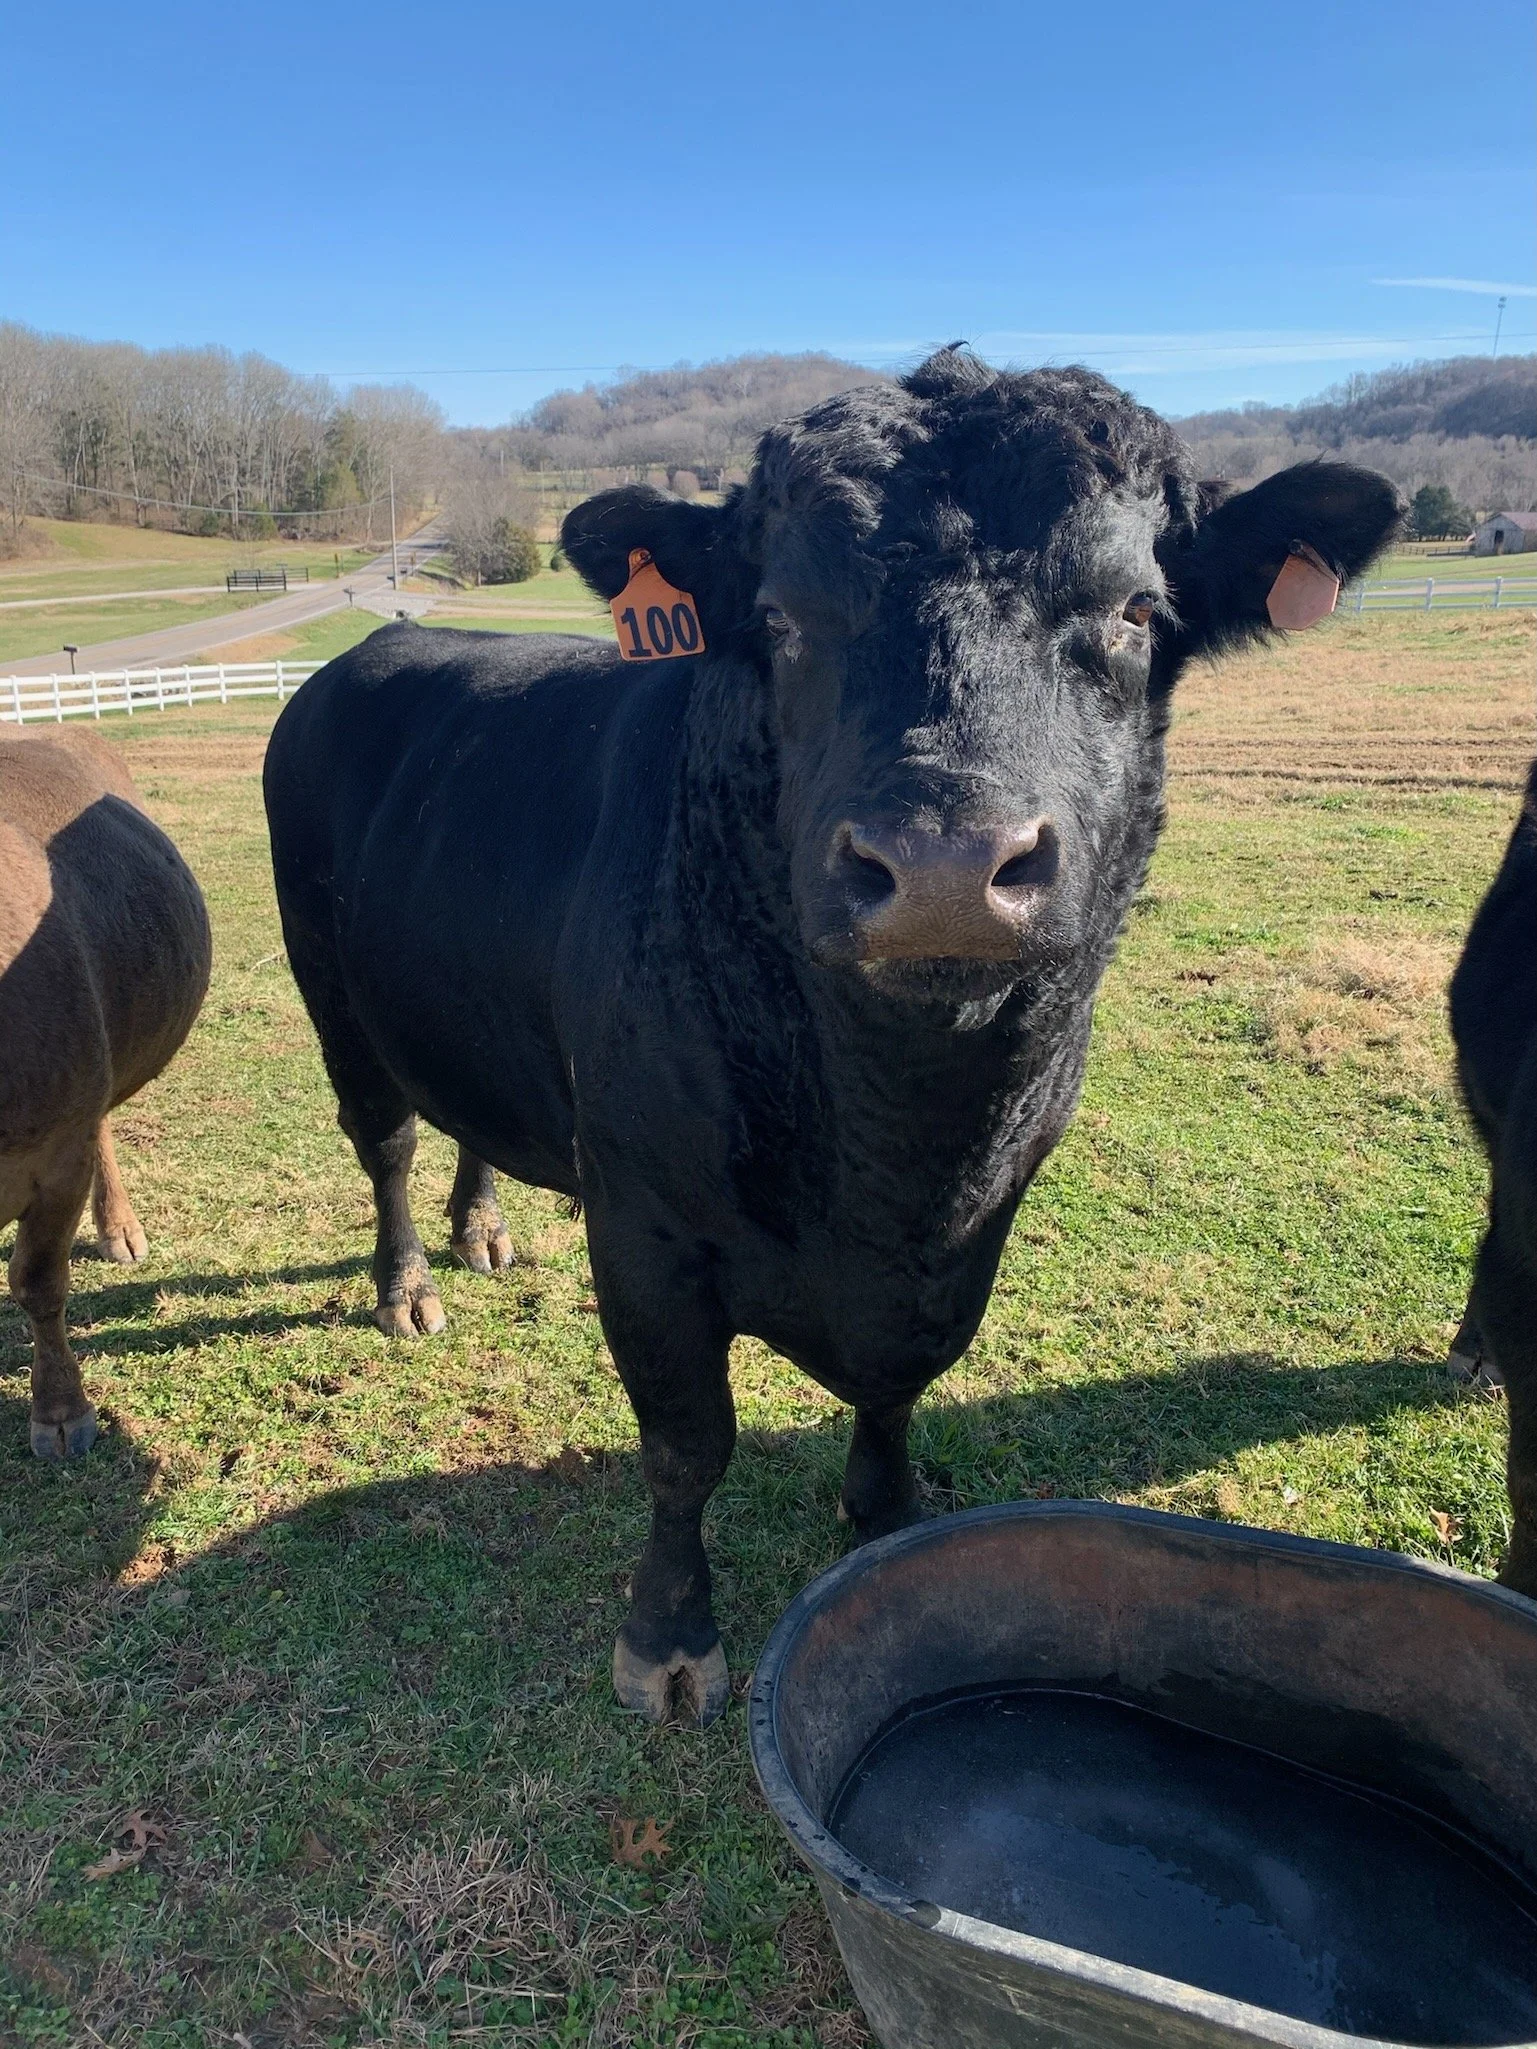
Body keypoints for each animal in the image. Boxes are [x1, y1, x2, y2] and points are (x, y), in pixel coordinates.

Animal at [263, 349, 1400, 1722]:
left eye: (1136, 608)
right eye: (782, 616)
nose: (945, 865)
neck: (893, 1144)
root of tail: (385, 643)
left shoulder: (975, 1219)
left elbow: (903, 1381)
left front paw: (889, 1522)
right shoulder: (642, 1223)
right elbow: (685, 1443)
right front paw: (667, 1635)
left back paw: (480, 1232)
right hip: (331, 991)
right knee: (381, 1139)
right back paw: (408, 1288)